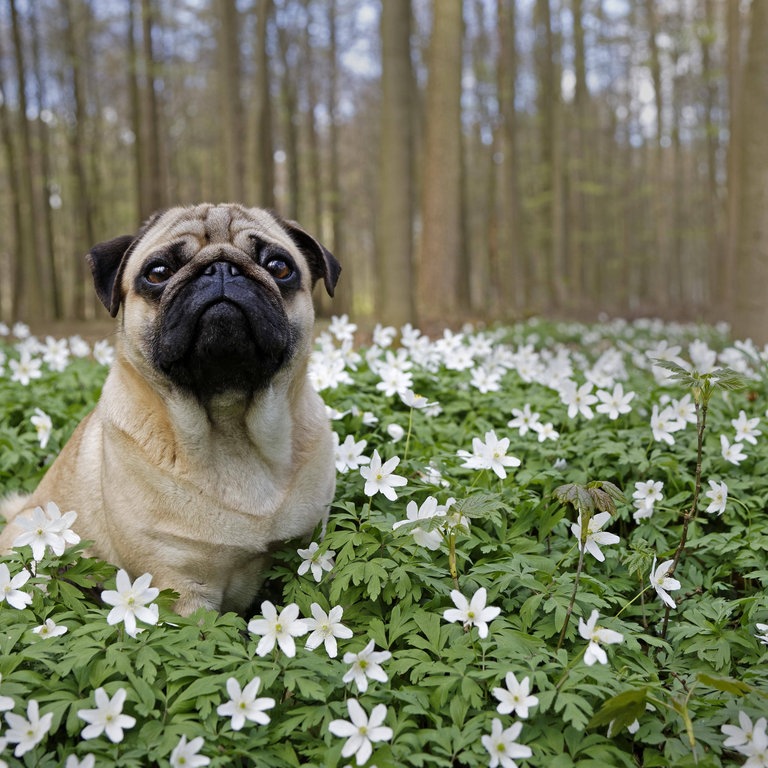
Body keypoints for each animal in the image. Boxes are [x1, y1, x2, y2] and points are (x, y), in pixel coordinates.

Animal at [0, 201, 342, 616]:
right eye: (158, 272)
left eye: (279, 267)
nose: (221, 269)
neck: (230, 426)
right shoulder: (180, 587)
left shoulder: (306, 549)